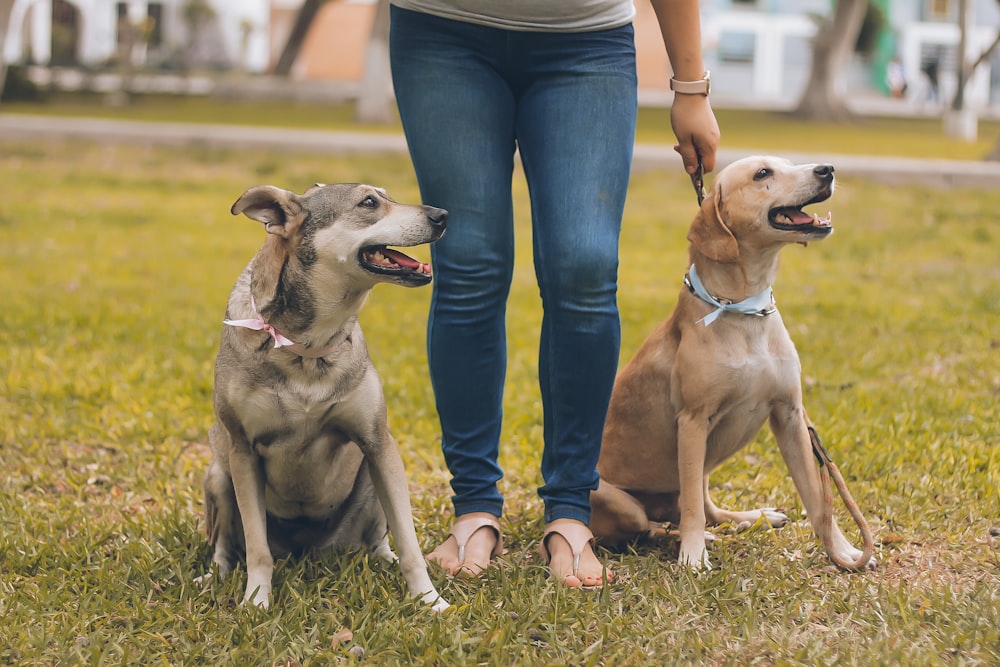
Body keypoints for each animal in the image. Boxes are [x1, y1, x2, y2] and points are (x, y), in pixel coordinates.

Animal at [592, 154, 876, 572]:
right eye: (762, 174)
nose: (827, 169)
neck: (744, 310)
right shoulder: (692, 423)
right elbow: (692, 512)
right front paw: (693, 556)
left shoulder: (790, 416)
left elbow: (816, 498)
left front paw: (843, 551)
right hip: (622, 498)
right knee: (655, 525)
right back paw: (688, 538)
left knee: (704, 508)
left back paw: (751, 518)